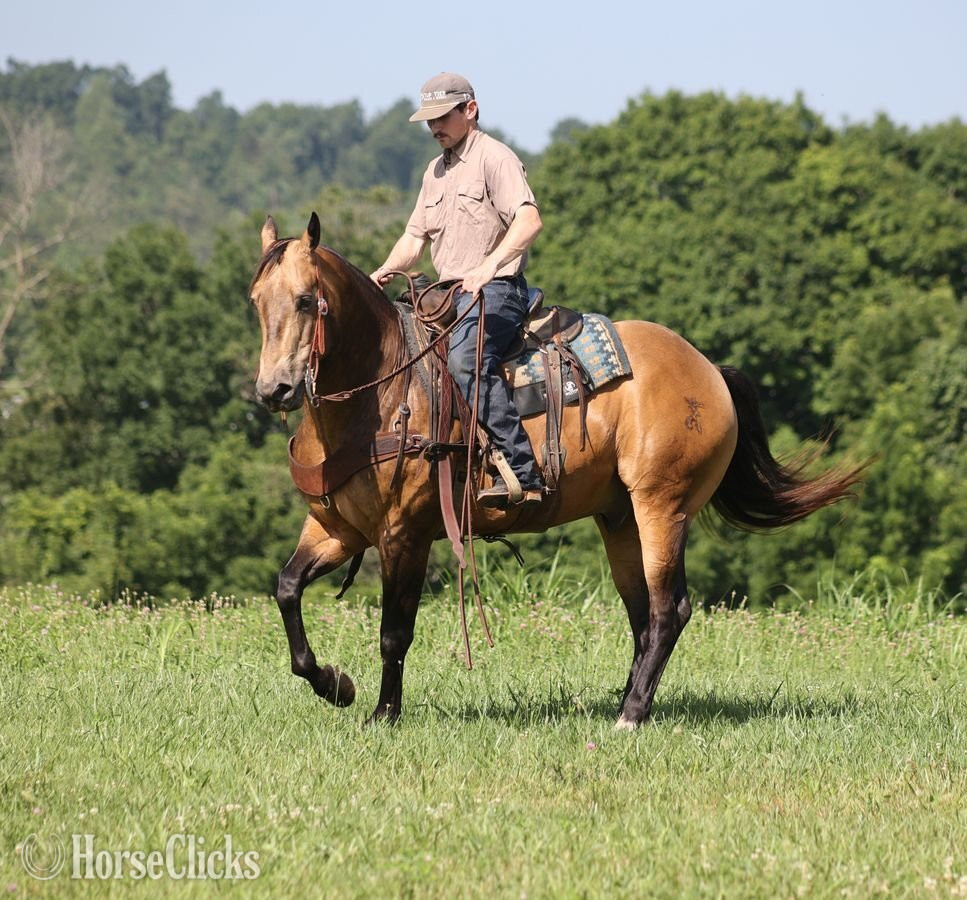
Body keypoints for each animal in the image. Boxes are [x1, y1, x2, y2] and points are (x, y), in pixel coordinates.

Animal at [249, 212, 864, 729]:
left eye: (305, 300)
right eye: (256, 301)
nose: (274, 389)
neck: (384, 390)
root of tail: (710, 370)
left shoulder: (406, 533)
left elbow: (393, 633)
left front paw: (383, 714)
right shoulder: (338, 529)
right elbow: (287, 589)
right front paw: (335, 685)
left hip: (662, 506)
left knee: (669, 609)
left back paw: (630, 716)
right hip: (620, 519)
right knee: (643, 614)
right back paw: (627, 701)